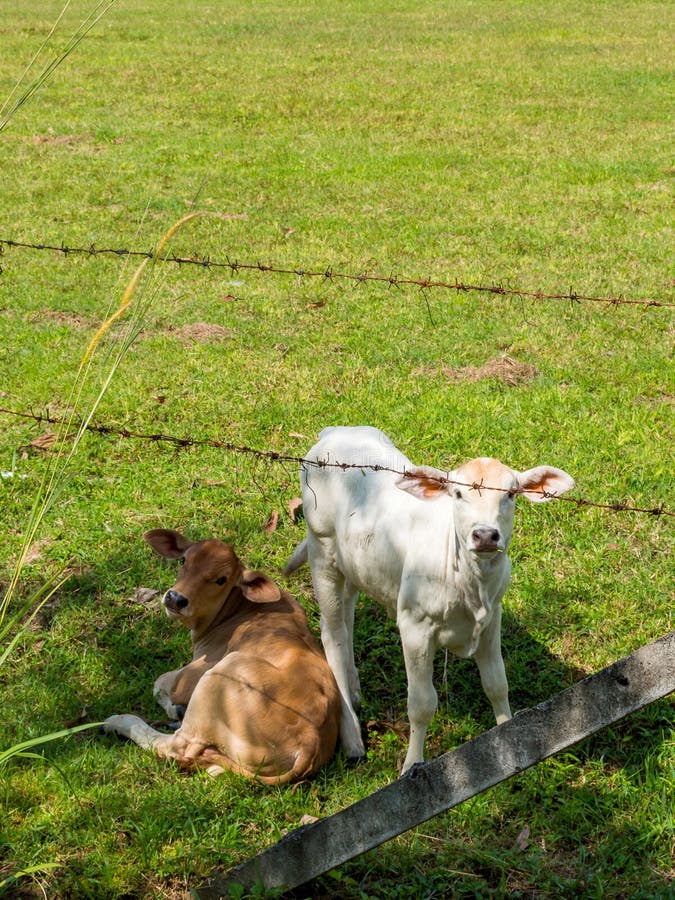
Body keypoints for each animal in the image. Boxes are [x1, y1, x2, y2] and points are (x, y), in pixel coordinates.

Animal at [103, 532, 340, 784]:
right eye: (184, 560)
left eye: (221, 580)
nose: (175, 598)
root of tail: (310, 742)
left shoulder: (191, 674)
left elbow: (160, 682)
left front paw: (174, 707)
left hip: (219, 675)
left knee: (176, 746)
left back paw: (119, 722)